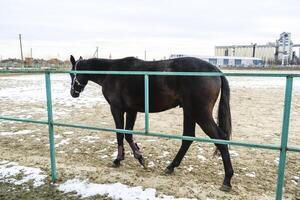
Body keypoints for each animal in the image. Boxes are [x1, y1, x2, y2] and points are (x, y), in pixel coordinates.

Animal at [69, 54, 233, 191]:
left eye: (71, 73)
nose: (73, 93)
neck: (111, 72)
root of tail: (215, 70)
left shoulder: (117, 109)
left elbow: (121, 134)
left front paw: (119, 160)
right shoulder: (131, 110)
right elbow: (128, 134)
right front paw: (139, 157)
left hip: (200, 113)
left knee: (219, 138)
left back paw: (227, 180)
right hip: (189, 112)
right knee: (187, 138)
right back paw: (170, 167)